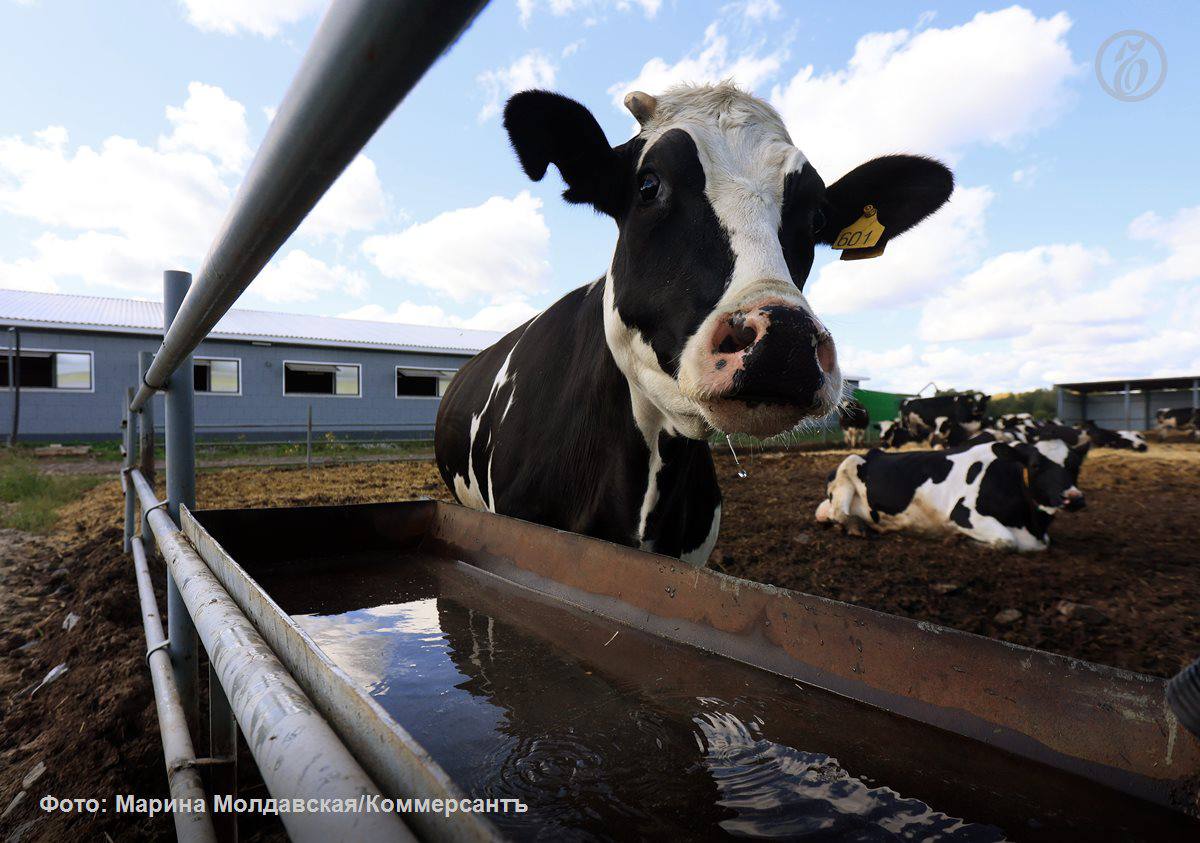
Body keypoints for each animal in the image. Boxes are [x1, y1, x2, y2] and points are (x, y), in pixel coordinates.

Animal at [816, 441, 1089, 554]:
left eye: (1076, 465)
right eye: (1035, 465)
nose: (1073, 498)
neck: (1032, 525)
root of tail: (873, 452)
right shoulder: (964, 513)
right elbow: (1007, 542)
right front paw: (960, 540)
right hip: (847, 467)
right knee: (840, 513)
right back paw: (857, 527)